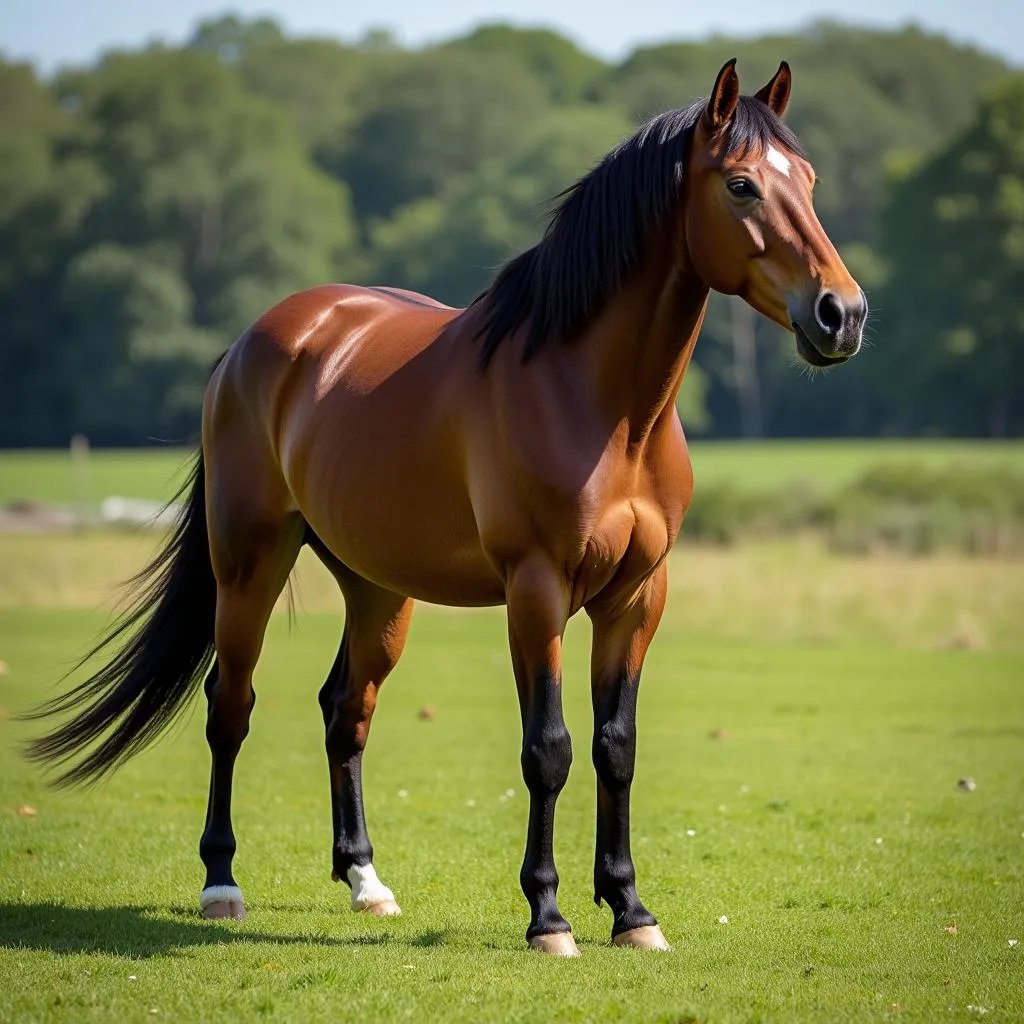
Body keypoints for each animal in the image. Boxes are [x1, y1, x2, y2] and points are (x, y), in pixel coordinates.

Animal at [25, 61, 864, 958]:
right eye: (741, 185)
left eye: (809, 181)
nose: (841, 314)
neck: (598, 402)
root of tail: (253, 343)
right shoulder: (536, 592)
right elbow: (549, 749)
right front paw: (549, 918)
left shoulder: (637, 598)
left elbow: (617, 747)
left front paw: (632, 911)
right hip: (247, 566)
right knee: (231, 705)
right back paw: (222, 883)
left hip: (377, 588)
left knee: (346, 710)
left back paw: (366, 881)